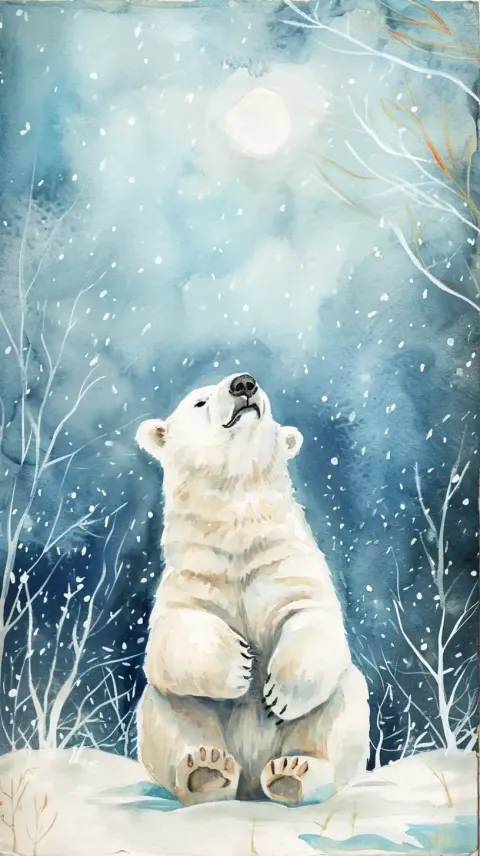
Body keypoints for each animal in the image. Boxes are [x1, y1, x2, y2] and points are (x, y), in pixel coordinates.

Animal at [135, 372, 370, 807]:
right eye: (199, 401)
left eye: (268, 400)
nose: (244, 384)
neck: (237, 532)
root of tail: (250, 787)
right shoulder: (193, 575)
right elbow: (170, 639)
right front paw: (240, 665)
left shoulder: (285, 565)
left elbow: (312, 616)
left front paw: (278, 693)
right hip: (176, 714)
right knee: (170, 714)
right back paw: (205, 770)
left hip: (335, 709)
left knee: (340, 711)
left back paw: (293, 773)